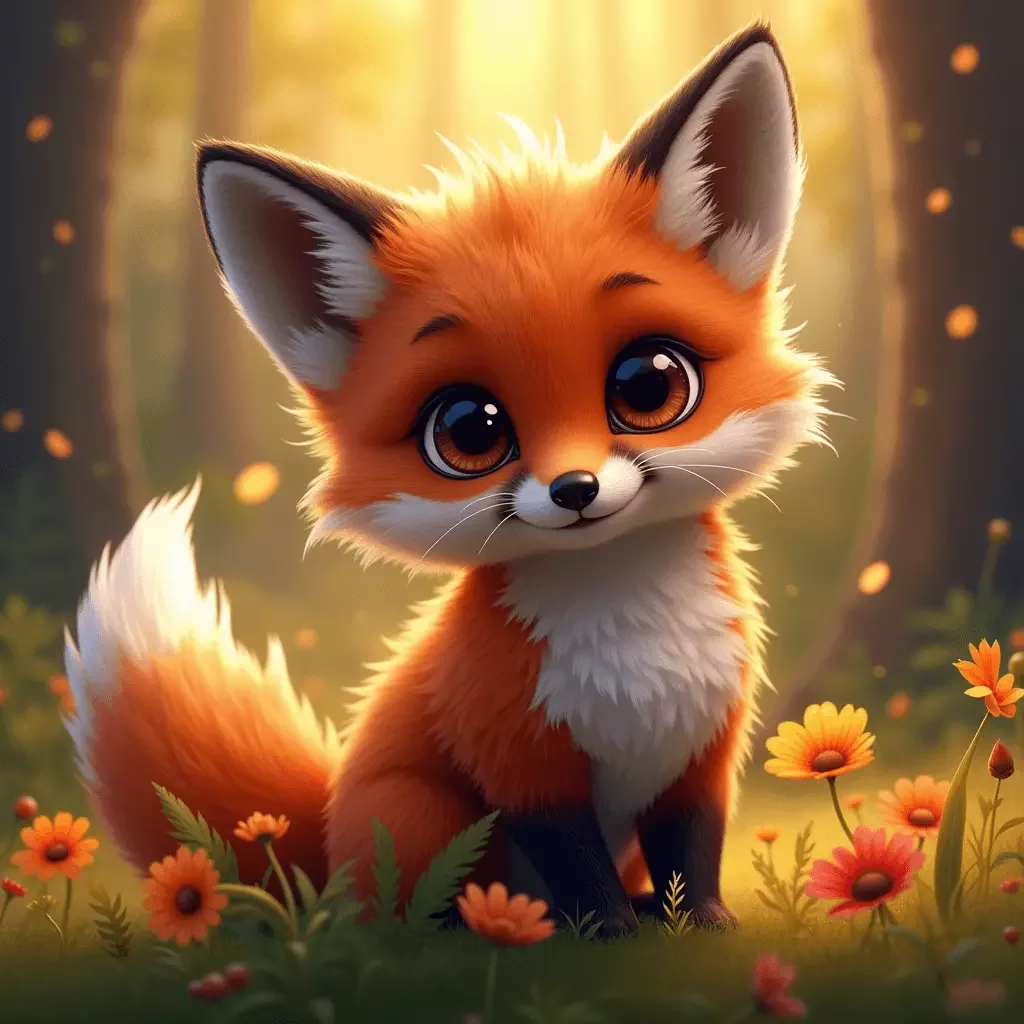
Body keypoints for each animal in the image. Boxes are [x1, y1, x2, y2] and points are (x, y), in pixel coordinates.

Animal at [64, 24, 834, 938]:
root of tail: (325, 840)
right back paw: (493, 928)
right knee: (404, 913)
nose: (576, 489)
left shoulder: (700, 752)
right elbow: (577, 866)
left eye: (649, 385)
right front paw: (605, 934)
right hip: (416, 810)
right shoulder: (517, 762)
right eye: (470, 430)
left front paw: (698, 923)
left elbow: (693, 851)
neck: (628, 637)